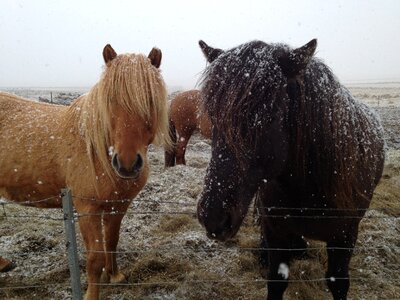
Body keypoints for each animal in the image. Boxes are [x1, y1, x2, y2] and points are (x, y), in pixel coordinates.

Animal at [0, 45, 170, 300]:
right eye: (110, 99)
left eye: (149, 99)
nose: (127, 164)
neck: (97, 152)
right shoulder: (86, 209)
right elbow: (94, 258)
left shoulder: (117, 205)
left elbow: (112, 241)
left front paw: (115, 275)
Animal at [197, 39, 384, 300]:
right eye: (213, 117)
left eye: (266, 117)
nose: (212, 218)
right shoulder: (276, 231)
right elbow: (276, 280)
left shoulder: (344, 237)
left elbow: (338, 283)